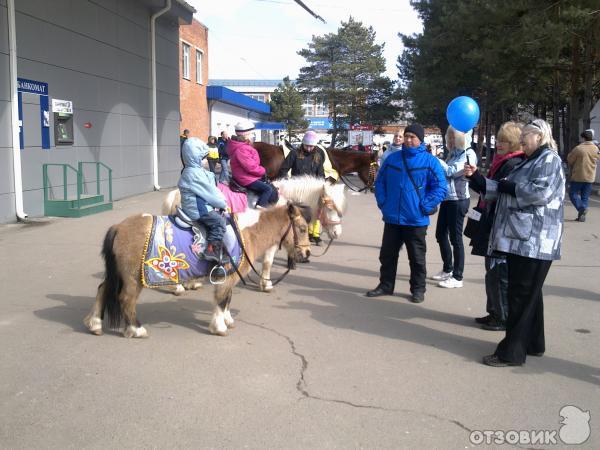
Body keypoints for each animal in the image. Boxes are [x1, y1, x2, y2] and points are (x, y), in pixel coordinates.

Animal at [83, 203, 310, 338]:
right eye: (302, 228)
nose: (307, 253)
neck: (246, 233)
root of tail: (119, 227)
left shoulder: (228, 279)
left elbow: (227, 300)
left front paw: (227, 320)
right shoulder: (227, 278)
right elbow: (221, 301)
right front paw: (219, 327)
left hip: (118, 274)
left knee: (103, 289)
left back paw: (95, 324)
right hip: (132, 279)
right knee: (126, 300)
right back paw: (137, 329)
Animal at [162, 178, 346, 294]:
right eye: (330, 207)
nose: (337, 233)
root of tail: (175, 194)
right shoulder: (272, 241)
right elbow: (268, 262)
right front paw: (266, 284)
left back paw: (191, 283)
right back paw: (179, 287)